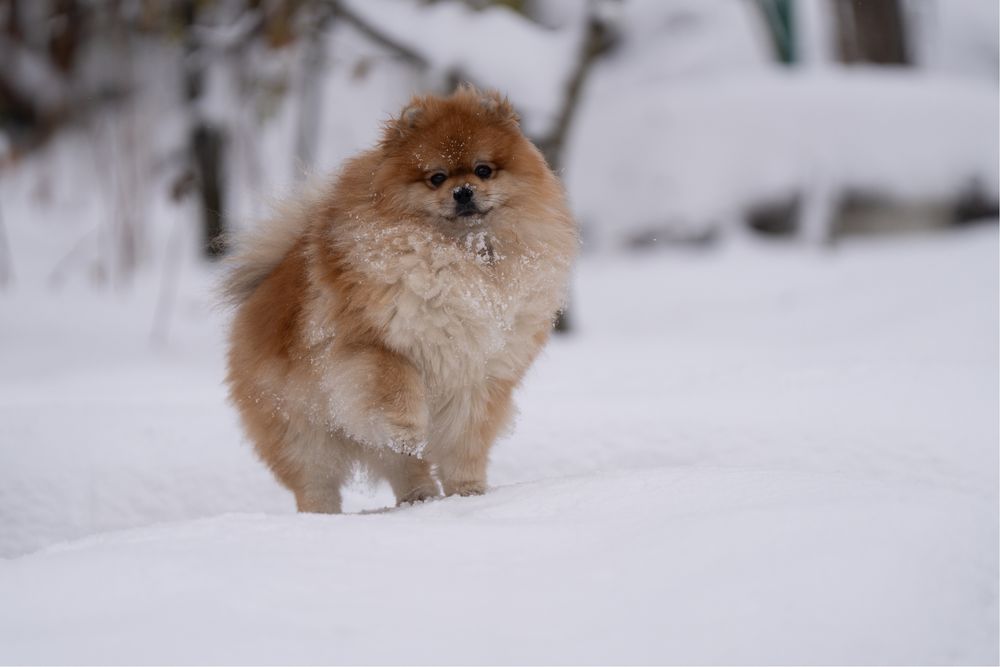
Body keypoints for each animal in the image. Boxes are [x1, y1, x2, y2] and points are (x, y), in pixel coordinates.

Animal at [222, 88, 576, 516]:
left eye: (483, 170)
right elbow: (395, 386)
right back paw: (324, 518)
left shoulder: (478, 378)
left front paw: (469, 491)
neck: (463, 258)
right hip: (302, 433)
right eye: (436, 177)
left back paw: (419, 498)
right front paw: (409, 427)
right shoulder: (373, 344)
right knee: (318, 482)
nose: (462, 191)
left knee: (405, 468)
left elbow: (464, 447)